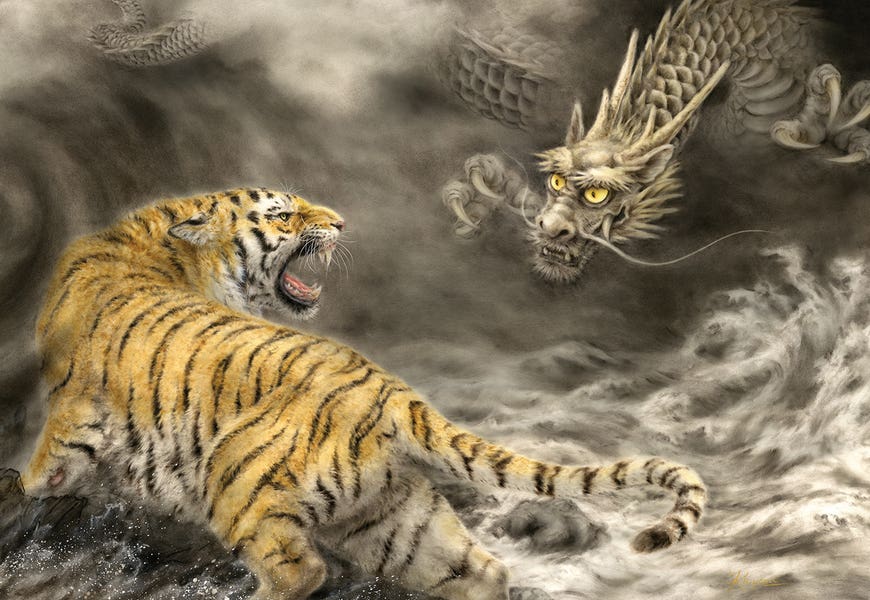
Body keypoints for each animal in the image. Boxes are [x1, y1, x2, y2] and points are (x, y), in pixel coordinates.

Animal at [22, 187, 707, 600]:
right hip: (397, 521)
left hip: (237, 480)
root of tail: (391, 391)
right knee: (481, 569)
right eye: (282, 213)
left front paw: (25, 489)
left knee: (301, 572)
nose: (341, 223)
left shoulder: (73, 412)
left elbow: (48, 464)